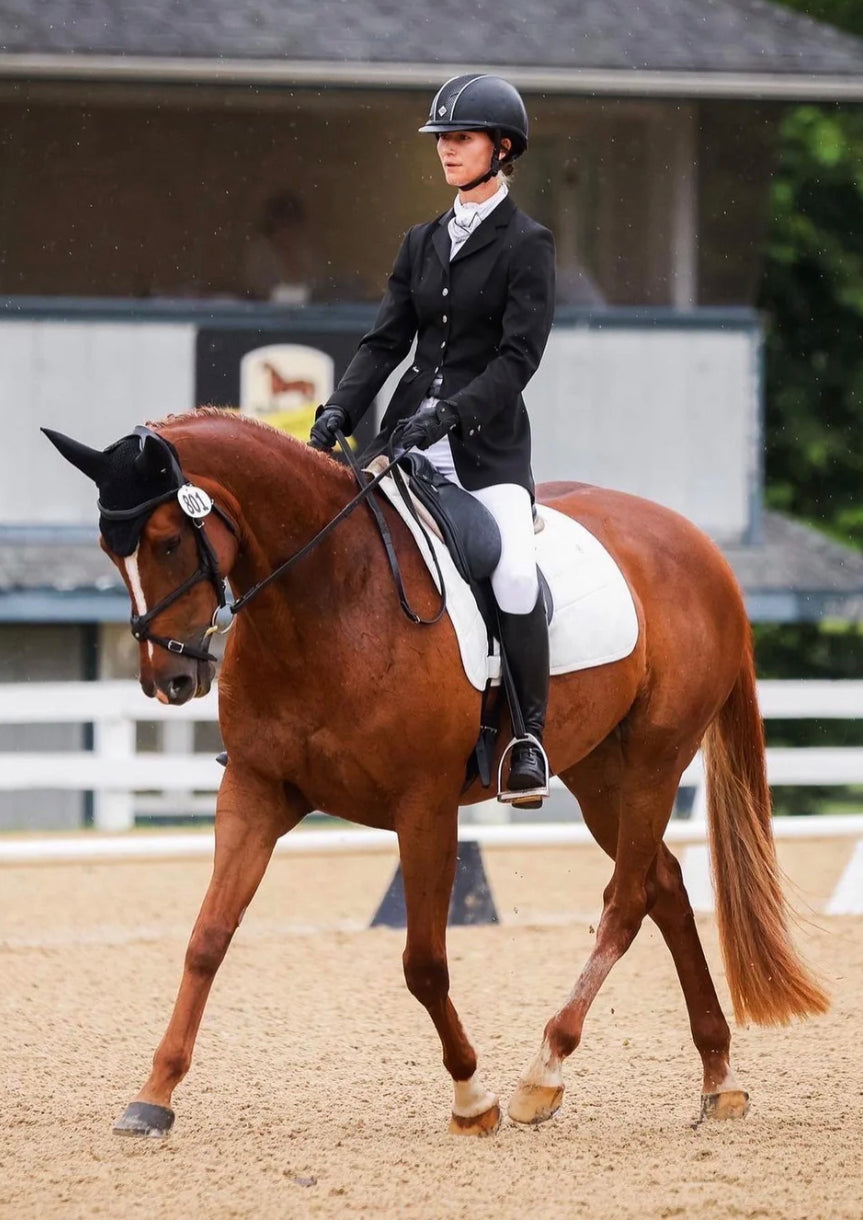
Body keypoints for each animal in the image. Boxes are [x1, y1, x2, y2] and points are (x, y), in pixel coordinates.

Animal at [44, 407, 828, 1138]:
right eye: (110, 550)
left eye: (168, 541)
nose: (169, 679)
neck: (329, 600)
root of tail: (700, 548)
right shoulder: (256, 792)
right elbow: (207, 939)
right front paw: (153, 1096)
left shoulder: (423, 806)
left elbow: (423, 963)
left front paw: (472, 1098)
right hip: (598, 773)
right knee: (663, 886)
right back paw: (718, 1077)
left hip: (652, 763)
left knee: (626, 901)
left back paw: (543, 1072)